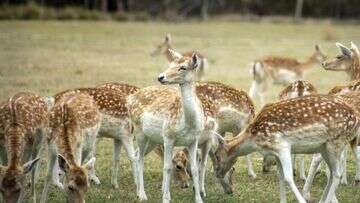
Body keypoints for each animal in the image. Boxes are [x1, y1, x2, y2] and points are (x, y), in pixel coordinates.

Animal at [128, 49, 221, 203]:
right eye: (170, 64)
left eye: (183, 67)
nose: (161, 77)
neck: (188, 123)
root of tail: (129, 98)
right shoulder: (168, 137)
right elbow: (167, 167)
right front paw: (166, 198)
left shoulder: (194, 140)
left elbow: (194, 168)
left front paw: (198, 198)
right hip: (139, 131)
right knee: (140, 158)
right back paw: (142, 194)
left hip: (153, 139)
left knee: (136, 154)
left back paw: (138, 191)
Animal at [212, 94, 358, 203]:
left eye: (217, 156)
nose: (217, 173)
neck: (254, 139)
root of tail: (357, 119)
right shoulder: (276, 152)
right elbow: (280, 176)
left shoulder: (282, 146)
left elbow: (288, 177)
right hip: (324, 148)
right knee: (332, 173)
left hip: (336, 142)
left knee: (337, 174)